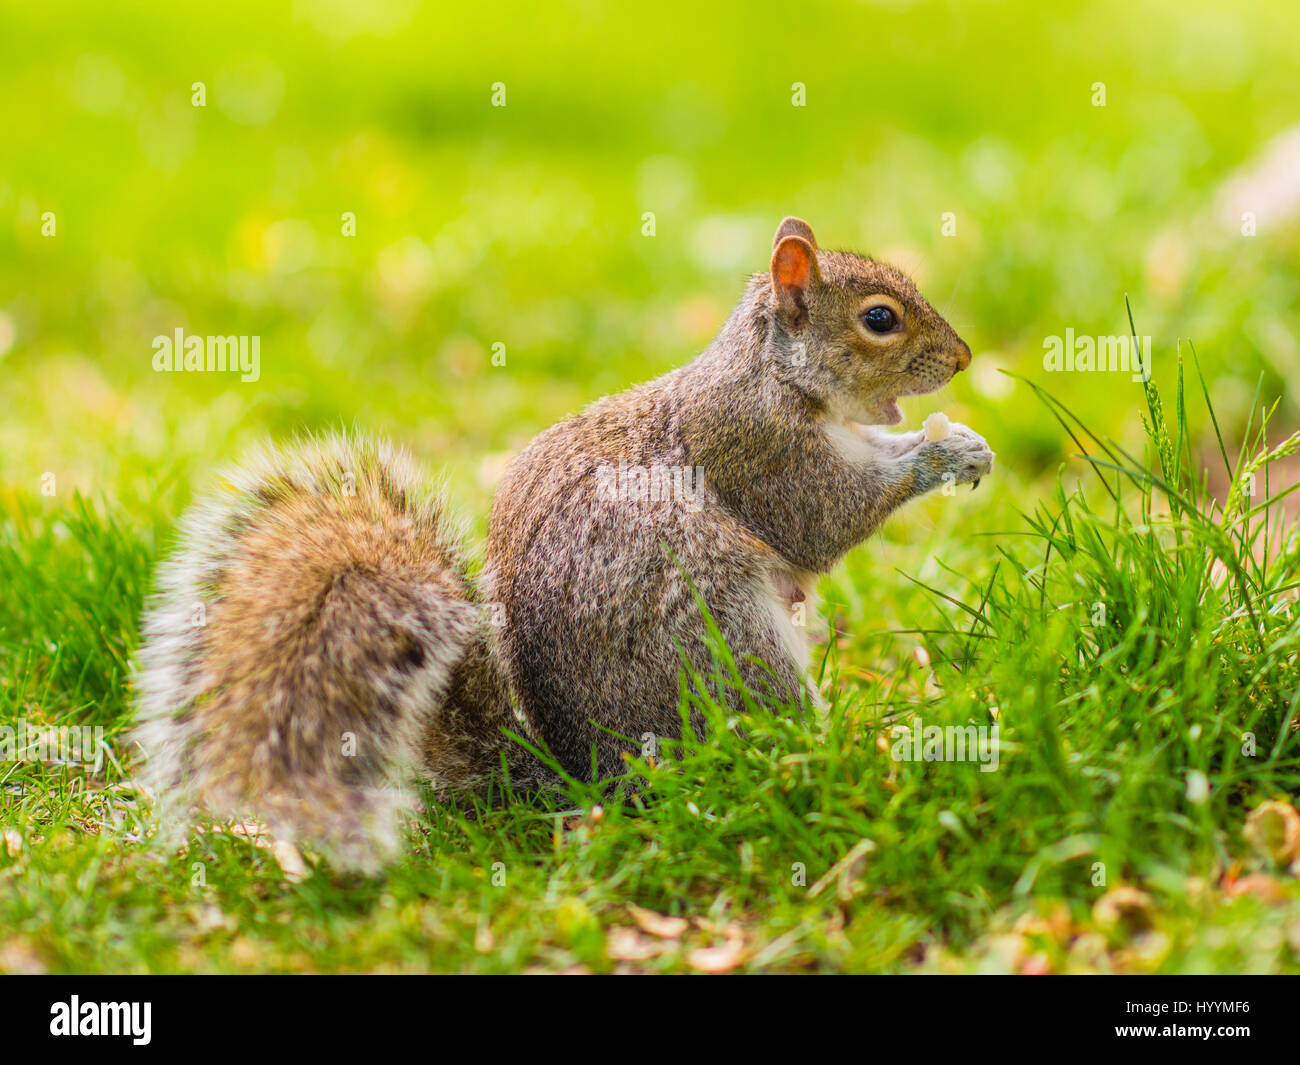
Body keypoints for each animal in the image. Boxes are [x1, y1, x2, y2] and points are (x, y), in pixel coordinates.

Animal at [129, 217, 993, 868]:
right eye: (879, 318)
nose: (963, 358)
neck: (773, 374)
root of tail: (588, 781)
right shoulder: (756, 450)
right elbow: (825, 519)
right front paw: (938, 457)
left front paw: (966, 442)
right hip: (727, 646)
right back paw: (835, 748)